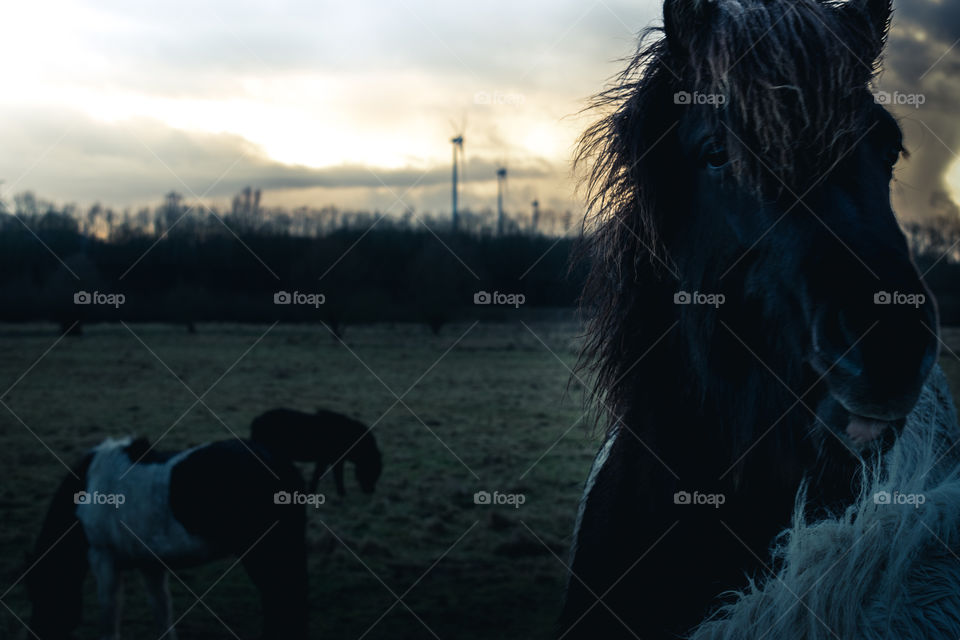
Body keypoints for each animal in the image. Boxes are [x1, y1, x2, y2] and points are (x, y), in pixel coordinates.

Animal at [24, 437, 308, 640]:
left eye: (40, 591)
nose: (35, 633)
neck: (88, 491)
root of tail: (278, 463)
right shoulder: (150, 564)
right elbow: (162, 611)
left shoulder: (103, 559)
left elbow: (110, 617)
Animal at [250, 408, 382, 496]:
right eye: (372, 470)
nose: (371, 491)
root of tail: (256, 421)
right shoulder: (331, 461)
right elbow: (333, 476)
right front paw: (341, 494)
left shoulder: (327, 461)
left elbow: (321, 475)